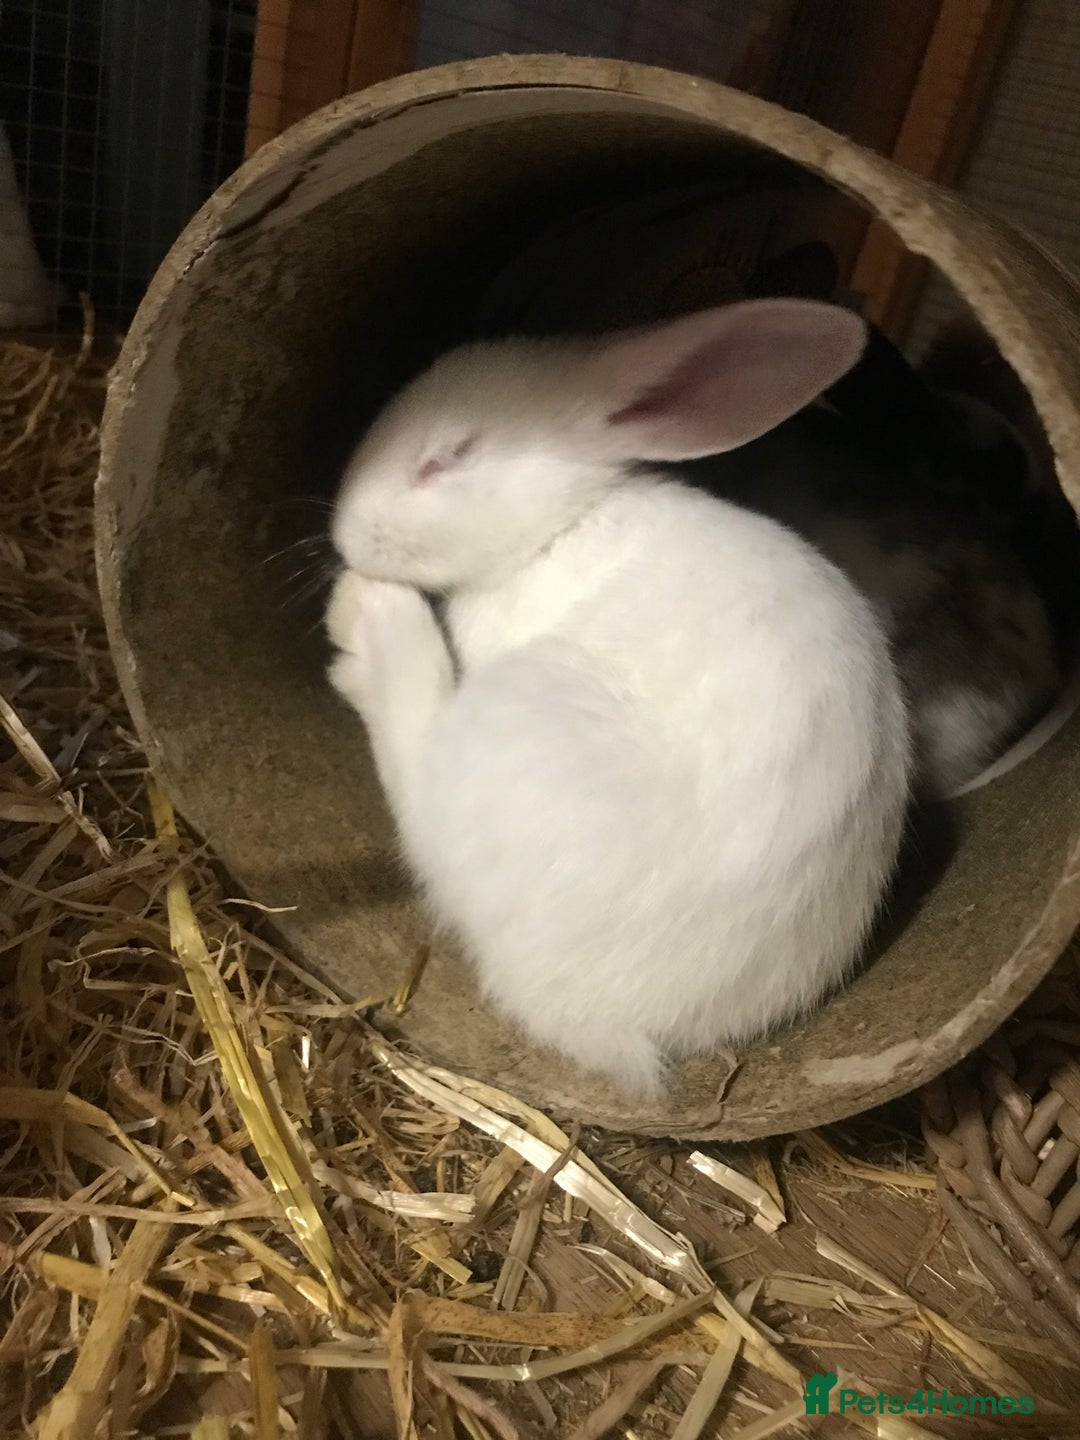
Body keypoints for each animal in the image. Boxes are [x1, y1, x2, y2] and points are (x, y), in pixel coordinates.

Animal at [325, 299, 911, 1097]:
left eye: (450, 455)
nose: (342, 533)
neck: (561, 527)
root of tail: (589, 1003)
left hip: (503, 722)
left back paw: (365, 617)